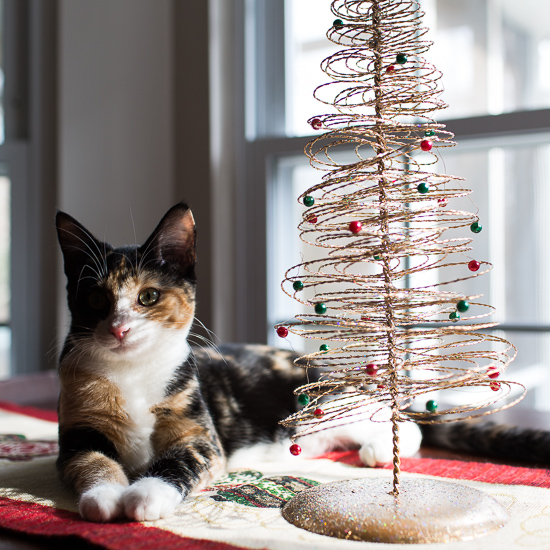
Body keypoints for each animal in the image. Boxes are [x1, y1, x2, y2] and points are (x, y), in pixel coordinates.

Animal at [55, 205, 422, 524]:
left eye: (148, 296)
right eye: (95, 299)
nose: (119, 328)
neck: (132, 371)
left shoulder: (200, 432)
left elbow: (182, 460)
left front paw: (145, 495)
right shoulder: (76, 428)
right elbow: (89, 460)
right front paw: (103, 497)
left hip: (327, 406)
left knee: (394, 421)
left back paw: (379, 449)